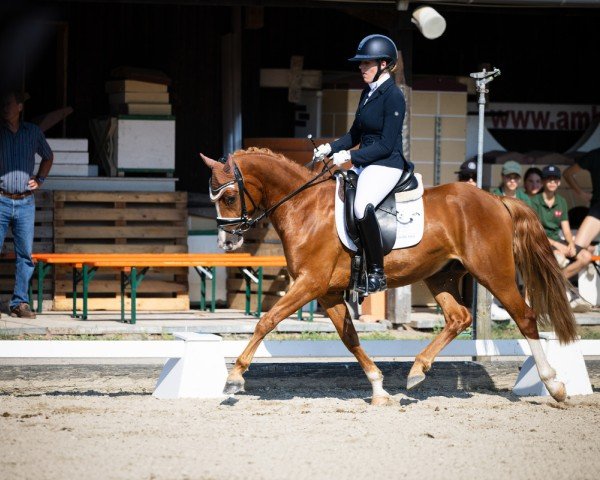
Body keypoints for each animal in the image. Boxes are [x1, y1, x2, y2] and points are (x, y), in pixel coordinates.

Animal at [202, 148, 576, 404]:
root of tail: (497, 199)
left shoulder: (310, 283)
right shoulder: (327, 292)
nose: (226, 242)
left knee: (525, 317)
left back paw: (554, 385)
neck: (303, 207)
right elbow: (349, 338)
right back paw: (417, 371)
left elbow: (267, 320)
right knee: (459, 317)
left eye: (230, 196)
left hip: (493, 273)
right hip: (440, 276)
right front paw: (379, 387)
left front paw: (234, 376)